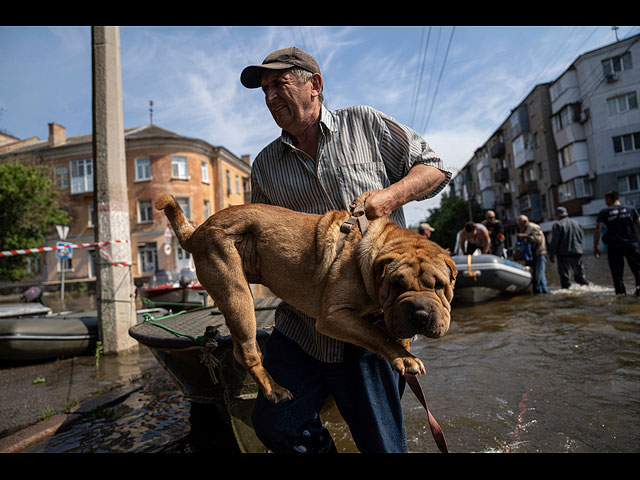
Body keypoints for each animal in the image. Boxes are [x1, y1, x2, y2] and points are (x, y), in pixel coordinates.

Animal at [155, 193, 456, 404]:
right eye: (396, 284)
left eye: (440, 286)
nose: (420, 312)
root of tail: (197, 231)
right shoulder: (334, 316)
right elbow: (376, 335)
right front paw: (403, 357)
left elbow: (387, 331)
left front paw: (404, 347)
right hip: (236, 294)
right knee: (249, 352)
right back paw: (274, 390)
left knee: (242, 350)